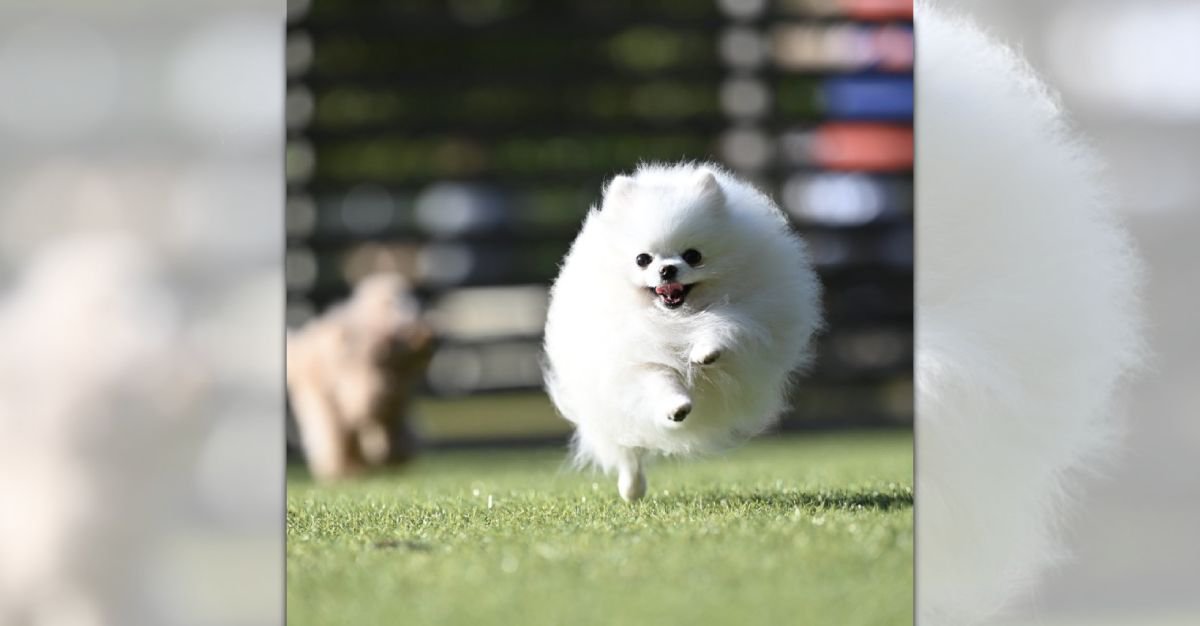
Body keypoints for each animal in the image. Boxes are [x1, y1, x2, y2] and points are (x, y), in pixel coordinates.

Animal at [285, 269, 436, 479]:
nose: (426, 336)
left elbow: (392, 424)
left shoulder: (397, 397)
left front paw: (393, 455)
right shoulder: (358, 388)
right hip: (323, 401)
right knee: (338, 433)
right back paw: (348, 467)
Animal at [547, 161, 820, 501]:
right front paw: (676, 406)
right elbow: (660, 380)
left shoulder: (751, 316)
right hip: (610, 411)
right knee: (628, 453)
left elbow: (723, 325)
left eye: (693, 255)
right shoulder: (637, 359)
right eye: (642, 259)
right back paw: (631, 488)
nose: (667, 269)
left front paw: (706, 350)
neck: (674, 318)